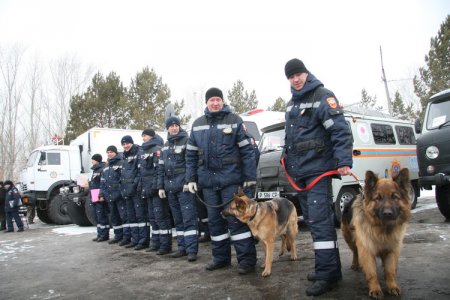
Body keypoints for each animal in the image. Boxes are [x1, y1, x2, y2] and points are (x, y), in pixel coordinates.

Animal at [342, 169, 412, 298]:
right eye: (378, 198)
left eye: (394, 197)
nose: (387, 214)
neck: (382, 229)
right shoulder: (366, 250)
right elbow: (372, 273)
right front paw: (375, 289)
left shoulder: (392, 250)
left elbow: (390, 271)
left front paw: (392, 286)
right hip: (349, 238)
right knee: (355, 251)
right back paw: (355, 264)